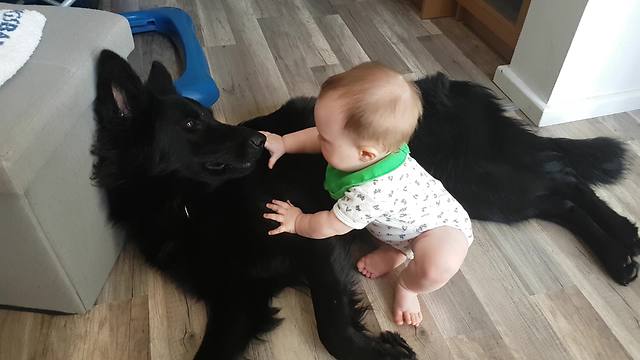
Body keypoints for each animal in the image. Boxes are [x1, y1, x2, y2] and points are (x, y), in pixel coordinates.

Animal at [92, 49, 636, 358]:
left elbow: (333, 325)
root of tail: (452, 86)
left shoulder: (316, 248)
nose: (261, 142)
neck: (195, 206)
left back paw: (620, 246)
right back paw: (622, 250)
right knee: (560, 196)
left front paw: (379, 351)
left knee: (563, 183)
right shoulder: (236, 300)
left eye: (204, 117)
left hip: (475, 184)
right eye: (190, 124)